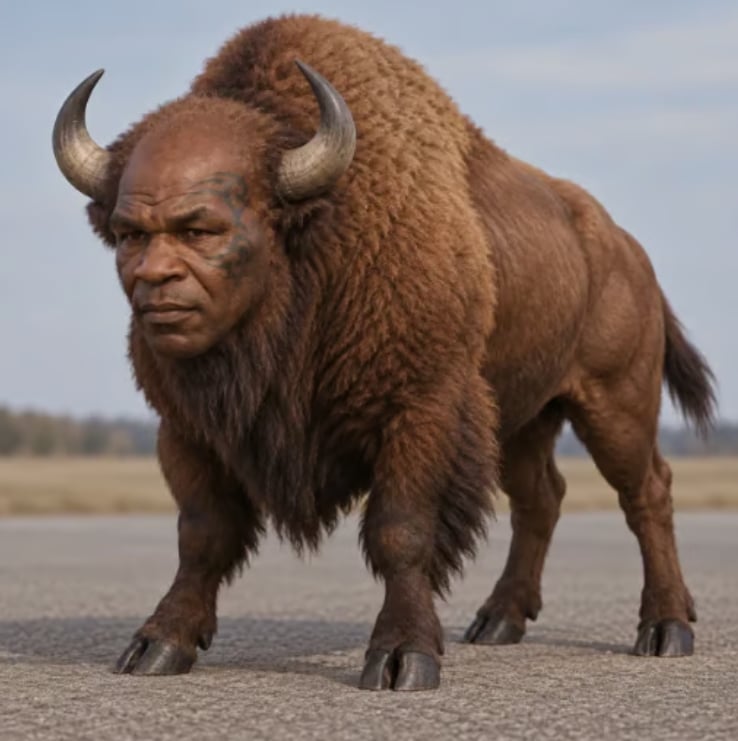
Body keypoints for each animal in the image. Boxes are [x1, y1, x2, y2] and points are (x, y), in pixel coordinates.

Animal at [52, 14, 714, 691]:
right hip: (522, 420)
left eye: (200, 228)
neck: (313, 237)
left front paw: (402, 658)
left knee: (646, 493)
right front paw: (158, 644)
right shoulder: (186, 429)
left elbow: (401, 530)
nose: (155, 284)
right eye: (129, 233)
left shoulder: (420, 409)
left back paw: (665, 629)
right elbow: (202, 534)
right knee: (541, 499)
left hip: (615, 403)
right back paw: (498, 621)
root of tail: (630, 252)